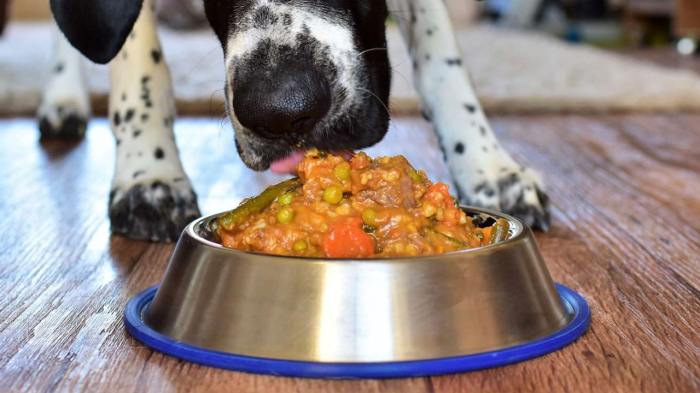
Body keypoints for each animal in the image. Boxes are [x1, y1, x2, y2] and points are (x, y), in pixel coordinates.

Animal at [47, 0, 552, 240]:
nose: (281, 112)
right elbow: (141, 64)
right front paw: (149, 175)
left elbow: (441, 58)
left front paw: (489, 168)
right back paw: (63, 99)